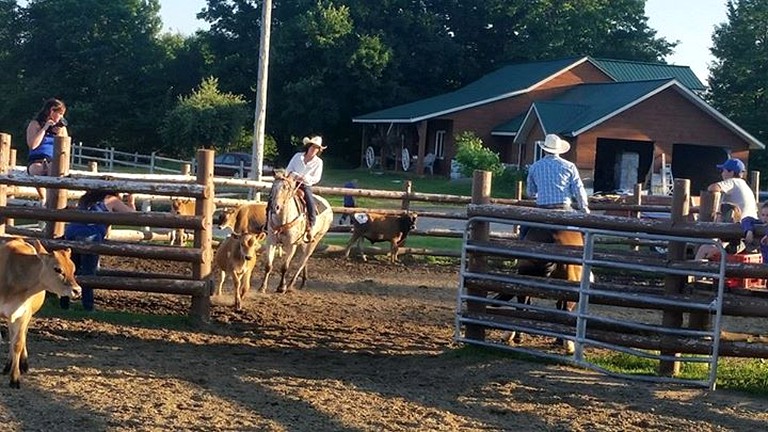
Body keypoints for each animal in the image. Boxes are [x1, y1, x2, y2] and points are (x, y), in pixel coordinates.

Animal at [0, 238, 82, 390]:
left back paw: (20, 364)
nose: (77, 290)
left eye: (73, 269)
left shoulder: (24, 314)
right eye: (58, 269)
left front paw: (15, 378)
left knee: (20, 337)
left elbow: (18, 343)